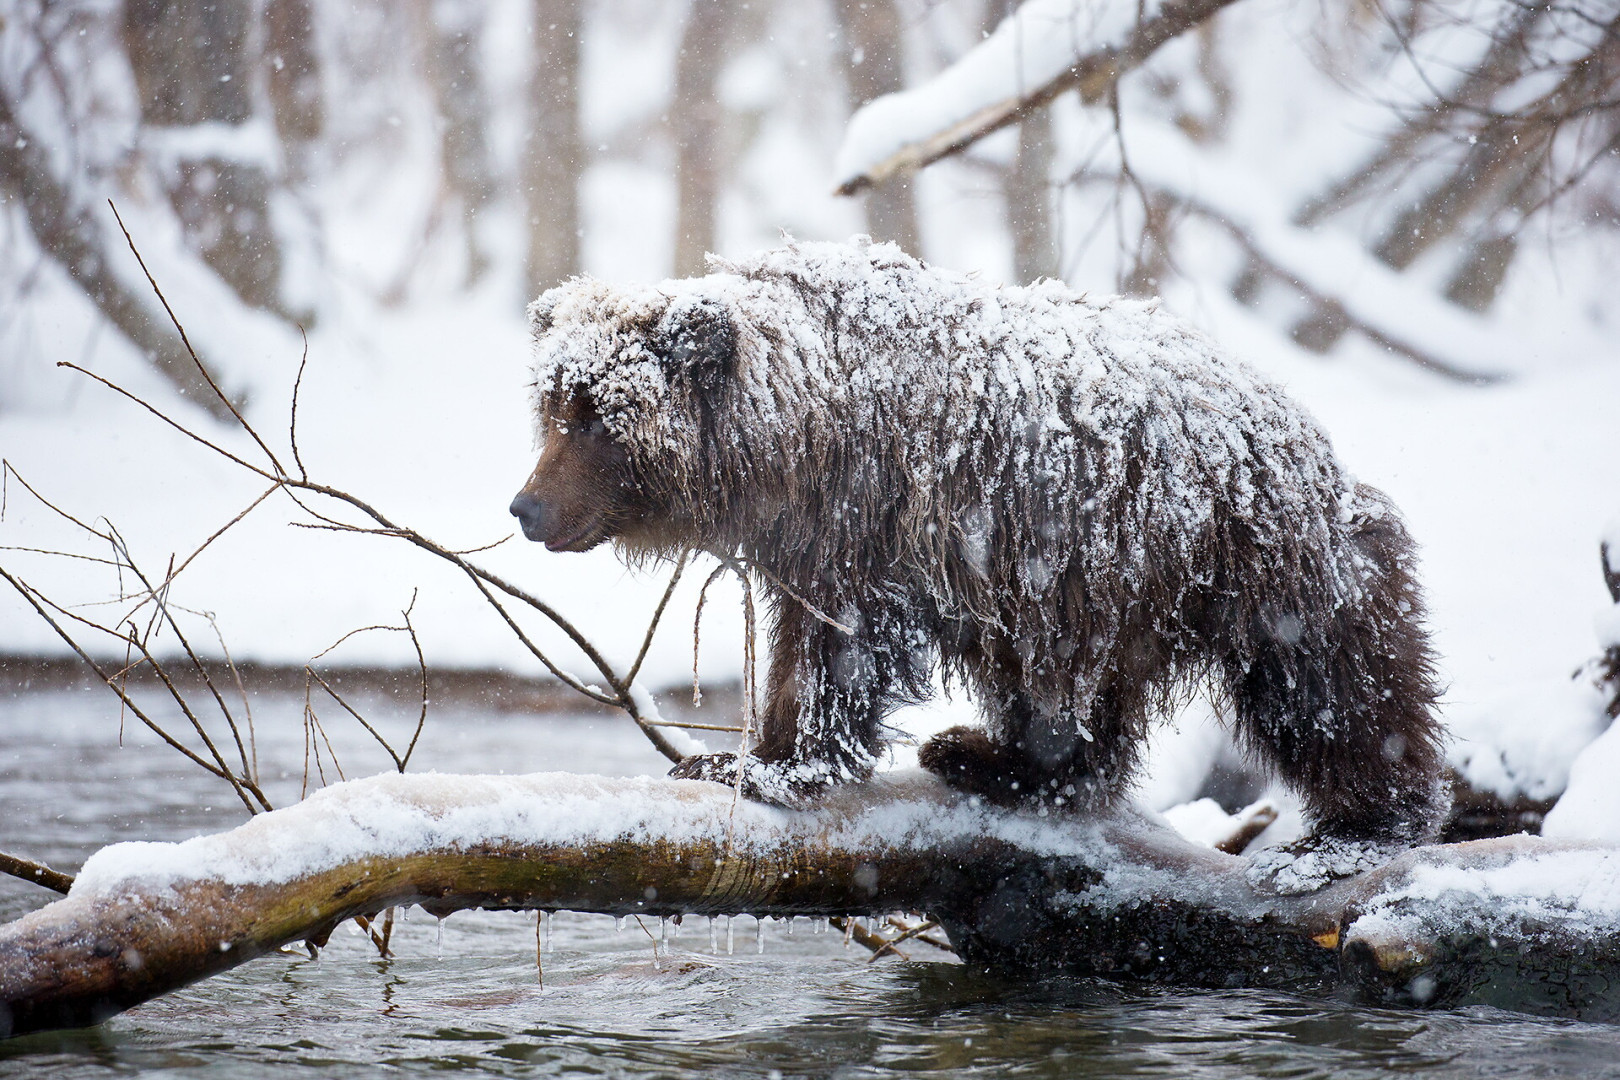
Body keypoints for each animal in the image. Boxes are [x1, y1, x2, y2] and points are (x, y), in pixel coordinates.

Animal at [511, 236, 1451, 880]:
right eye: (554, 407)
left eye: (597, 417)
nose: (525, 509)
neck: (794, 434)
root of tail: (1300, 426)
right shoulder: (814, 540)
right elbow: (804, 640)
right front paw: (741, 752)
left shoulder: (870, 519)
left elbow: (837, 649)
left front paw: (766, 763)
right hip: (1080, 584)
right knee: (1068, 690)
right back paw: (990, 756)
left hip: (1236, 558)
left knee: (1328, 684)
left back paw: (1355, 830)